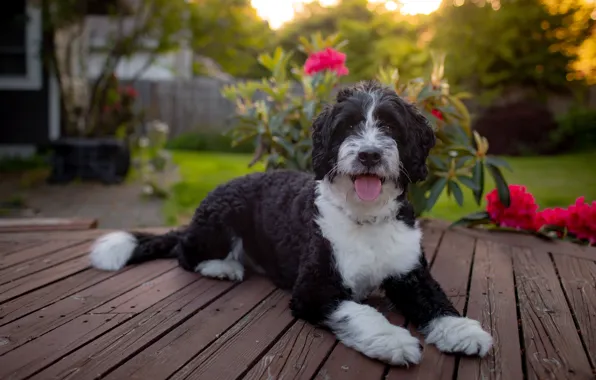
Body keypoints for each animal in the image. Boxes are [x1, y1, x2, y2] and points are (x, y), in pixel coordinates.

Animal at [88, 79, 492, 366]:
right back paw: (221, 267)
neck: (365, 218)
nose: (369, 154)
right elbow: (361, 311)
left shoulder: (410, 273)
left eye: (390, 127)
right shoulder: (314, 289)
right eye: (347, 128)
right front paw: (392, 340)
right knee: (185, 252)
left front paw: (460, 330)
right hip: (220, 219)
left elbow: (436, 300)